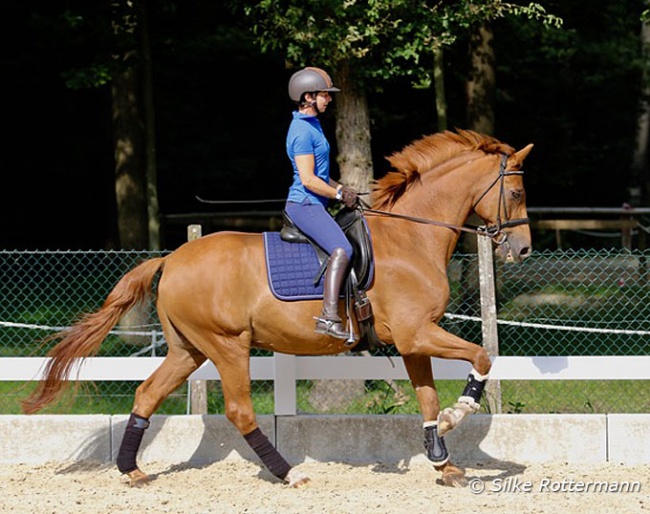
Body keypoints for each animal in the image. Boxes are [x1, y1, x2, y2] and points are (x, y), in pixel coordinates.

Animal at [21, 129, 532, 488]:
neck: (411, 238)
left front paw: (443, 461)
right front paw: (457, 414)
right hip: (228, 346)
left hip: (189, 349)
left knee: (146, 394)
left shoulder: (413, 340)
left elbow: (427, 397)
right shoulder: (415, 333)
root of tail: (172, 258)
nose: (524, 249)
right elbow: (482, 357)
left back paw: (132, 470)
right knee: (239, 411)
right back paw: (289, 473)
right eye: (516, 193)